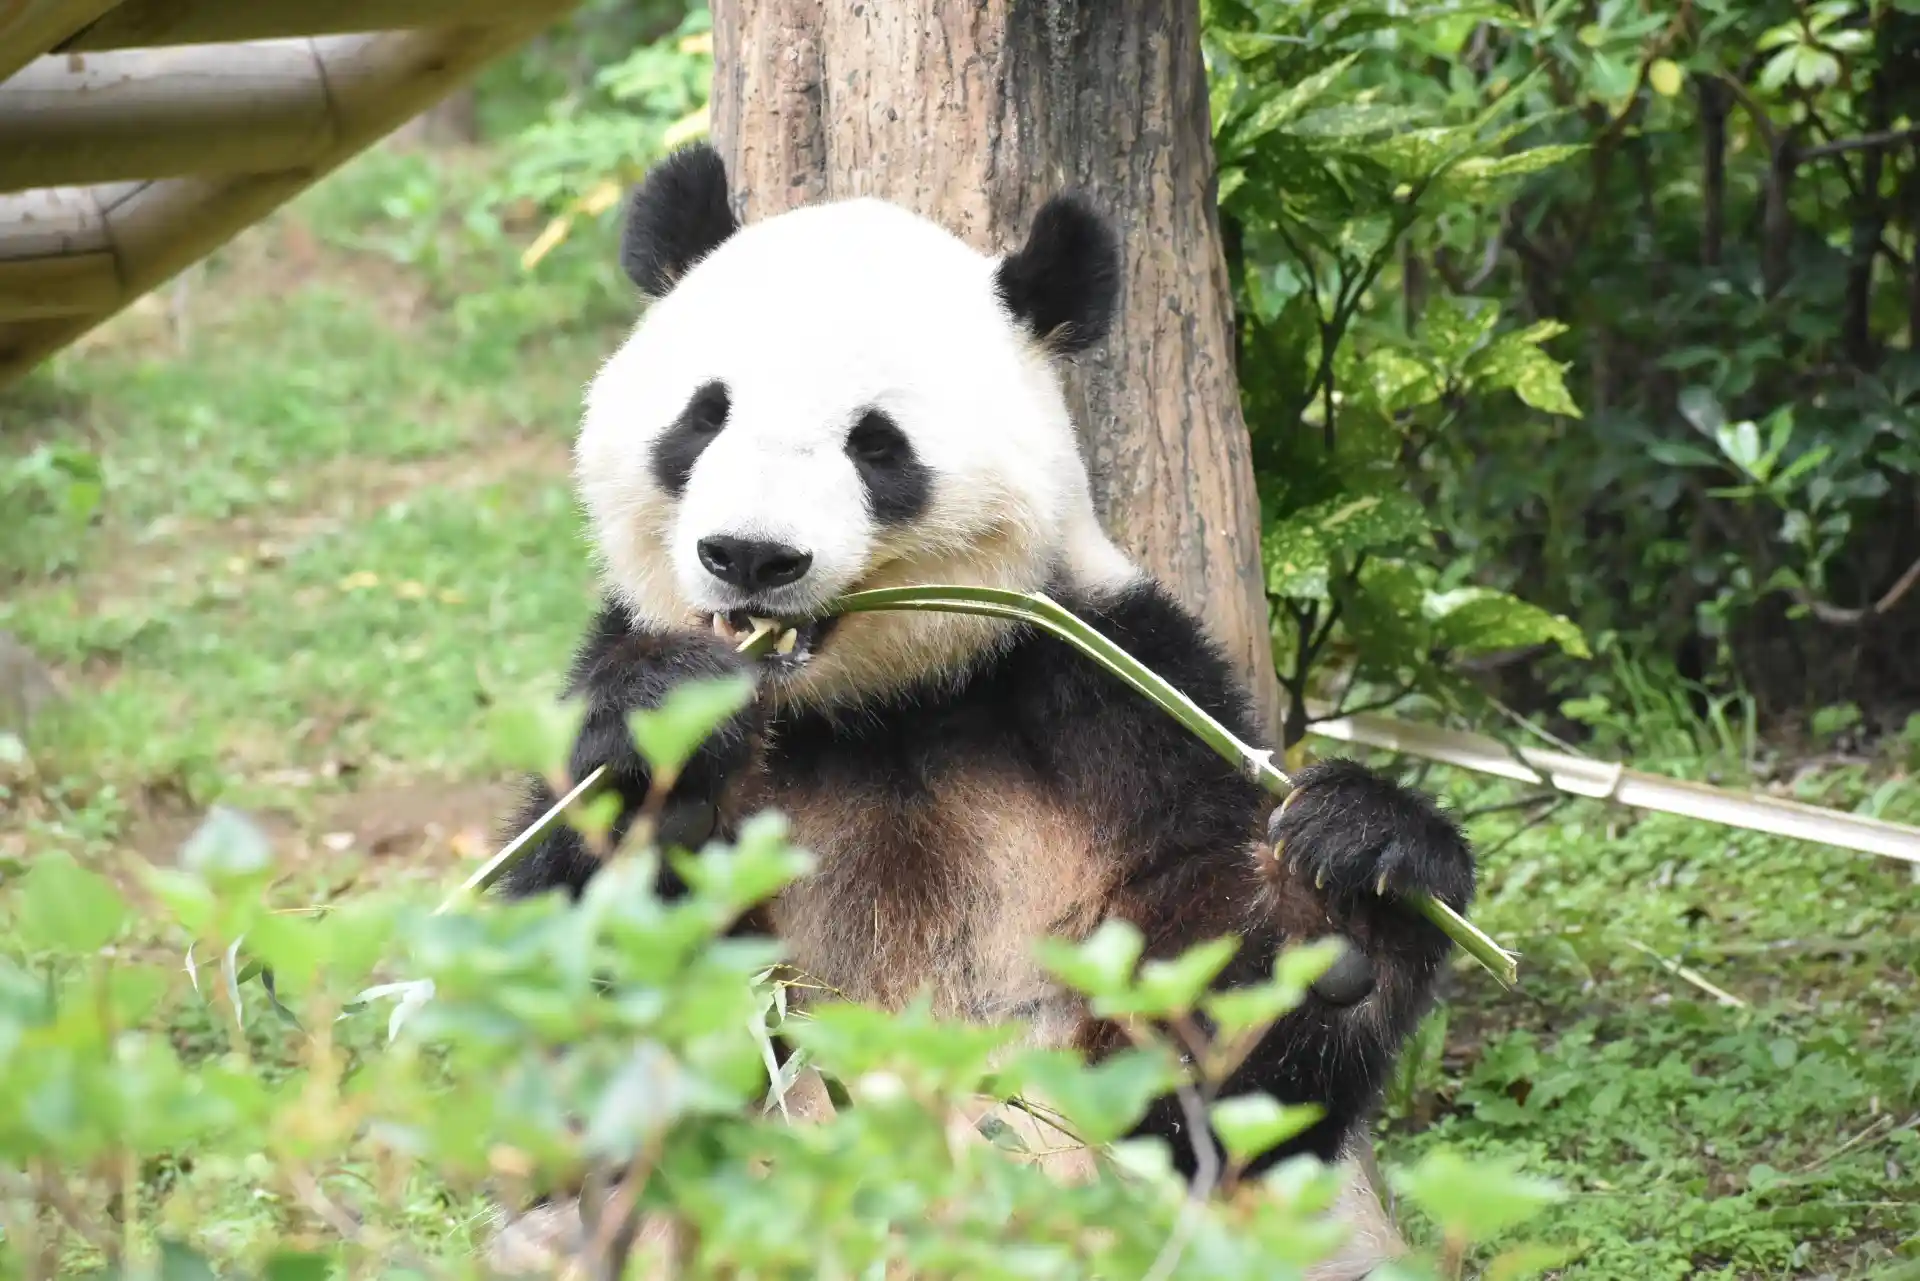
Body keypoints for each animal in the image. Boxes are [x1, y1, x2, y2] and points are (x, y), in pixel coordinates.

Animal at [498, 141, 1476, 1180]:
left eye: (876, 445)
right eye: (704, 416)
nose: (752, 556)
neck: (872, 706)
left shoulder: (1117, 698)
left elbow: (1208, 1092)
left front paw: (1350, 892)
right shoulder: (623, 653)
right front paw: (667, 747)